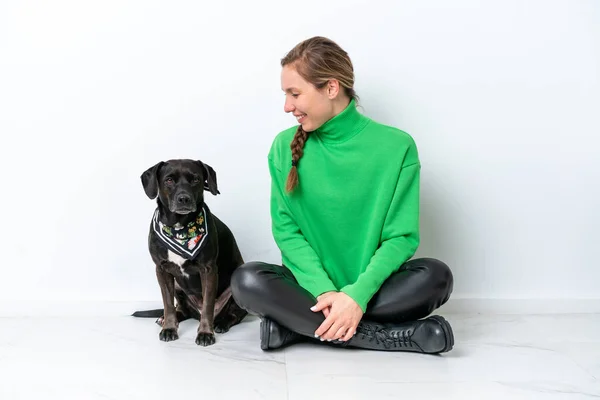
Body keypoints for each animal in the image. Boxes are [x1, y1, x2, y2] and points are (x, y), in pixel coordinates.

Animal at [134, 158, 248, 346]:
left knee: (234, 314)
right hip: (178, 286)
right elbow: (168, 304)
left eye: (196, 179)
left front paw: (205, 333)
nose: (184, 198)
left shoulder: (208, 270)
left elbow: (208, 305)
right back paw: (164, 319)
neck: (179, 227)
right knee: (181, 309)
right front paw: (169, 328)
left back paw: (221, 323)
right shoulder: (161, 269)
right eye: (169, 180)